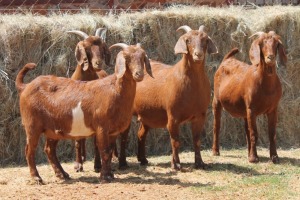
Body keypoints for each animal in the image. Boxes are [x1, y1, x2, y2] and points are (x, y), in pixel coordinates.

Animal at [15, 43, 152, 184]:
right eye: (127, 58)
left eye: (142, 57)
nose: (139, 74)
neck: (114, 90)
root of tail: (25, 87)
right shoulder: (101, 128)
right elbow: (104, 151)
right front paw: (105, 177)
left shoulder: (112, 131)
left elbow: (109, 152)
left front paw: (110, 174)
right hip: (32, 125)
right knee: (29, 150)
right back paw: (36, 177)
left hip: (52, 129)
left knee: (49, 150)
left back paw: (62, 174)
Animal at [67, 27, 110, 172]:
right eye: (87, 49)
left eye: (102, 47)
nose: (98, 63)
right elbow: (77, 141)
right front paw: (77, 165)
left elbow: (97, 142)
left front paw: (97, 165)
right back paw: (82, 158)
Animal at [118, 24, 218, 170]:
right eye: (187, 40)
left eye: (205, 40)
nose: (198, 54)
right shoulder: (173, 116)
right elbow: (175, 141)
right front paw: (175, 164)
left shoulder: (200, 115)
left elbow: (197, 141)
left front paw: (199, 163)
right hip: (127, 113)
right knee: (124, 136)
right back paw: (122, 163)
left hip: (147, 115)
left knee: (141, 134)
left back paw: (143, 159)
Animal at [212, 30, 288, 163]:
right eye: (262, 43)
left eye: (276, 44)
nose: (270, 57)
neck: (266, 87)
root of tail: (227, 59)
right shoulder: (252, 109)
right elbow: (254, 133)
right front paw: (253, 158)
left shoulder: (273, 109)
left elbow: (271, 133)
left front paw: (274, 157)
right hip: (217, 101)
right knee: (217, 125)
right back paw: (216, 151)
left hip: (244, 110)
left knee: (246, 129)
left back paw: (248, 153)